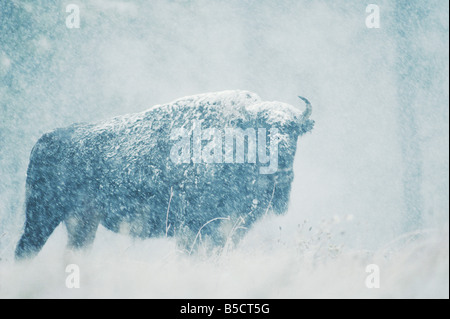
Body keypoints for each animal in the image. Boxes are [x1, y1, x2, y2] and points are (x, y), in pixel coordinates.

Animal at [15, 90, 314, 260]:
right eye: (261, 129)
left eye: (294, 130)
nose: (281, 157)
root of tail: (44, 140)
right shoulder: (192, 228)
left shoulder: (231, 228)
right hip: (42, 215)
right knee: (26, 249)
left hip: (83, 222)